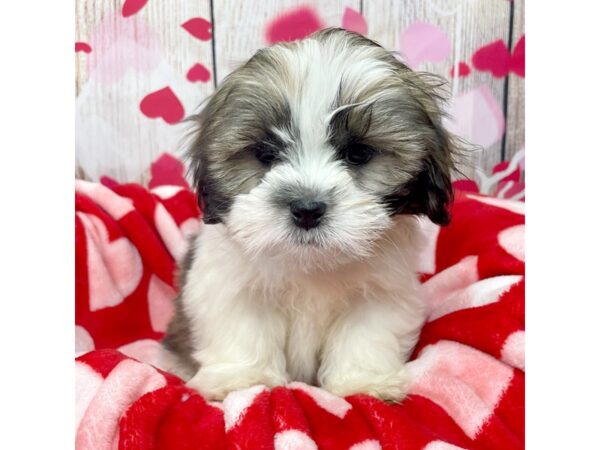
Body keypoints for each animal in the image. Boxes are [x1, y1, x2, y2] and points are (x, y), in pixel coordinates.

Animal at [162, 28, 458, 400]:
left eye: (358, 153)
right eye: (265, 153)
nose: (306, 209)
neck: (311, 262)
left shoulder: (382, 291)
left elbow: (366, 333)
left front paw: (363, 382)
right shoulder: (231, 286)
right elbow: (243, 330)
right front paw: (243, 379)